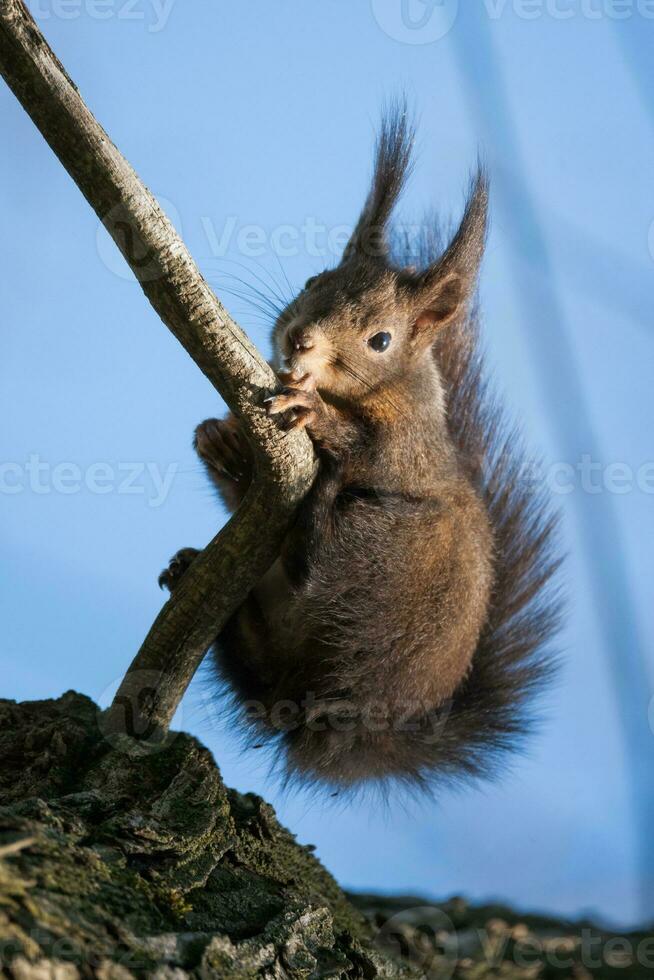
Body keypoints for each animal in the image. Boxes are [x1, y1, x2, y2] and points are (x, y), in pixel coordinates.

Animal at [160, 109, 564, 796]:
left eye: (381, 340)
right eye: (315, 280)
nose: (300, 340)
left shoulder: (412, 446)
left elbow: (369, 453)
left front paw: (314, 416)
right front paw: (224, 442)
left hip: (384, 562)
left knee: (329, 557)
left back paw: (310, 524)